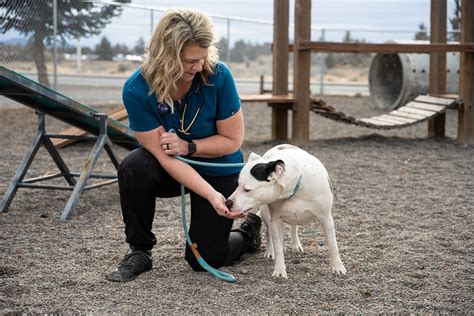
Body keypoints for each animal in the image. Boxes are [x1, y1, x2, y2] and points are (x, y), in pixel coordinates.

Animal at [226, 144, 344, 278]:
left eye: (247, 190)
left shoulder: (326, 217)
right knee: (269, 232)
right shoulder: (276, 221)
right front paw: (279, 270)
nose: (227, 203)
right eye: (236, 184)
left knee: (294, 226)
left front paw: (338, 267)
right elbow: (278, 247)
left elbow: (333, 244)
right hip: (265, 213)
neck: (294, 187)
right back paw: (270, 250)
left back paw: (295, 243)